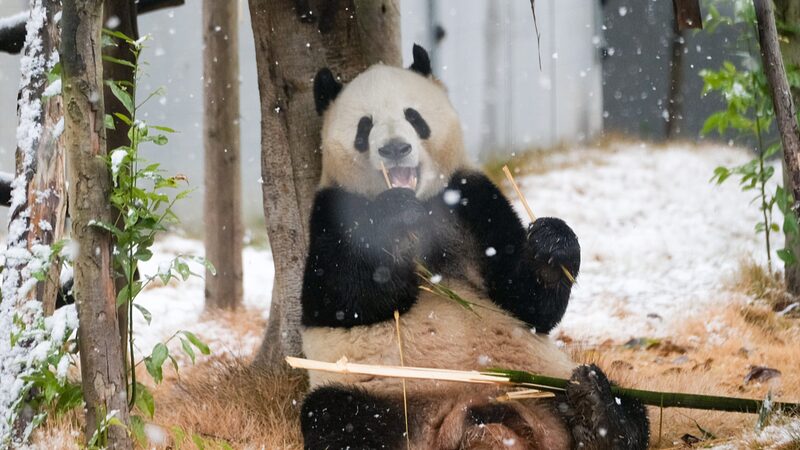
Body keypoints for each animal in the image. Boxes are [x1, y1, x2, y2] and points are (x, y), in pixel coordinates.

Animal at [299, 44, 649, 450]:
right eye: (364, 126)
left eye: (413, 116)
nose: (395, 149)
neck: (418, 204)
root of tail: (469, 417)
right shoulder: (332, 209)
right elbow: (340, 298)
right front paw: (391, 219)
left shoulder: (470, 197)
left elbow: (528, 303)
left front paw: (550, 244)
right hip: (382, 389)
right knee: (336, 415)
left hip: (540, 381)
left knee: (626, 400)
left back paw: (599, 415)